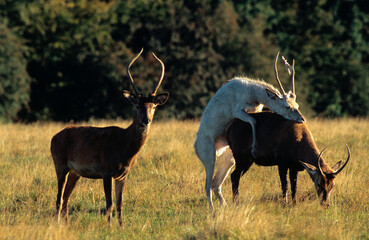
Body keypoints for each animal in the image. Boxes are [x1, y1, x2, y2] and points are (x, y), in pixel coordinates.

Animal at [50, 48, 168, 225]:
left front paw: (121, 226)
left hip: (74, 172)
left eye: (154, 106)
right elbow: (109, 204)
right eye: (137, 105)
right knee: (59, 199)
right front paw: (109, 227)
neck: (125, 149)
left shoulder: (123, 175)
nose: (146, 120)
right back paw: (57, 224)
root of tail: (53, 138)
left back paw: (65, 223)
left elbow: (120, 203)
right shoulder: (106, 171)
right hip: (60, 163)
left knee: (65, 199)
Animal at [193, 52, 304, 210]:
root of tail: (195, 147)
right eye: (287, 106)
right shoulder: (237, 110)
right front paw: (254, 148)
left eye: (297, 104)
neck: (253, 94)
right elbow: (253, 122)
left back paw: (224, 206)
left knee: (216, 184)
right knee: (207, 186)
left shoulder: (255, 109)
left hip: (229, 159)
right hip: (209, 156)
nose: (302, 119)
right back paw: (212, 210)